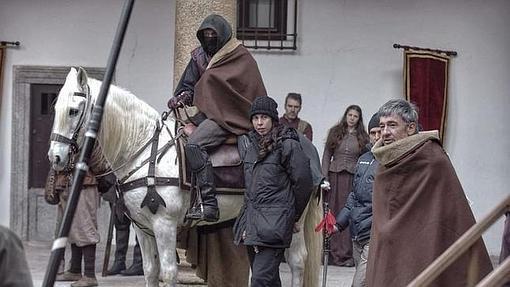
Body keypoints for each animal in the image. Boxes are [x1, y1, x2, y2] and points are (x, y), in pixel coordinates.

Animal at [46, 68, 318, 287]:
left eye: (73, 111)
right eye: (55, 108)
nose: (55, 156)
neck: (145, 150)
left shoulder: (164, 225)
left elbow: (168, 273)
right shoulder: (143, 228)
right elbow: (151, 271)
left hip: (293, 222)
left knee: (296, 262)